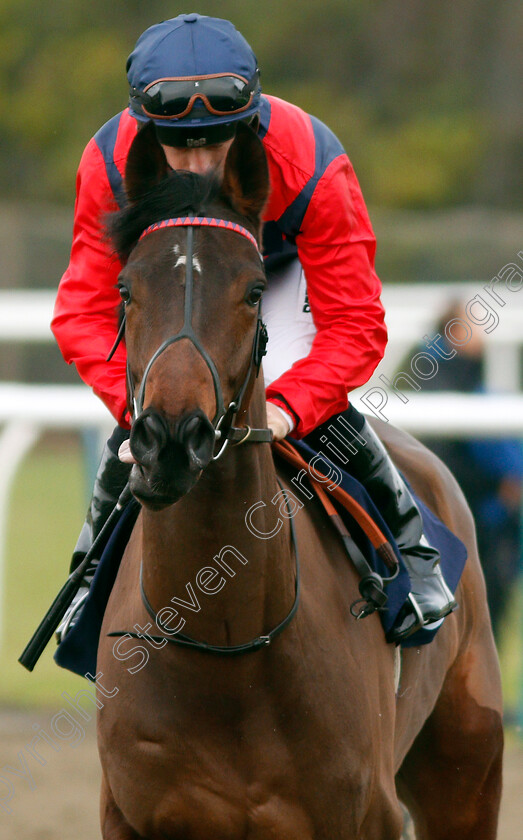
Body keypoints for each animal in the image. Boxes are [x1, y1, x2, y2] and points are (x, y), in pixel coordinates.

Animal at [96, 120, 506, 840]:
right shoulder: (130, 816)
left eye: (254, 290)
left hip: (466, 768)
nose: (171, 441)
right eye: (126, 288)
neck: (224, 639)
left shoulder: (363, 815)